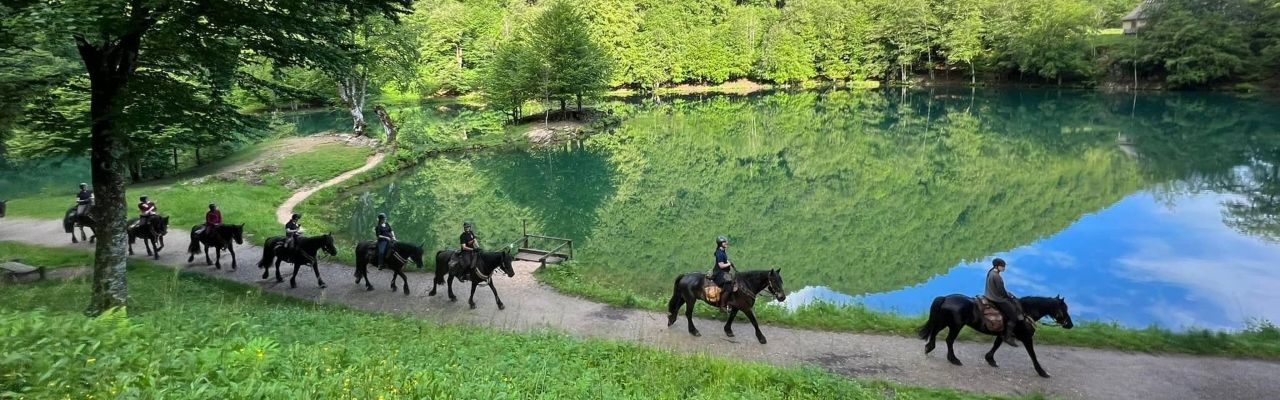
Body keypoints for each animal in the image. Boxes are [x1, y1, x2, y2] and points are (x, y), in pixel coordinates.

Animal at [917, 295, 1075, 378]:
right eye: (1064, 309)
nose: (1070, 325)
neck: (1024, 312)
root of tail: (946, 298)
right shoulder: (1026, 338)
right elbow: (1033, 355)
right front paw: (1042, 372)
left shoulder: (1003, 334)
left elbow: (996, 345)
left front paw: (990, 360)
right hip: (955, 326)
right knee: (949, 340)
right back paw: (953, 359)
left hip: (945, 322)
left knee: (934, 332)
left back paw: (929, 348)